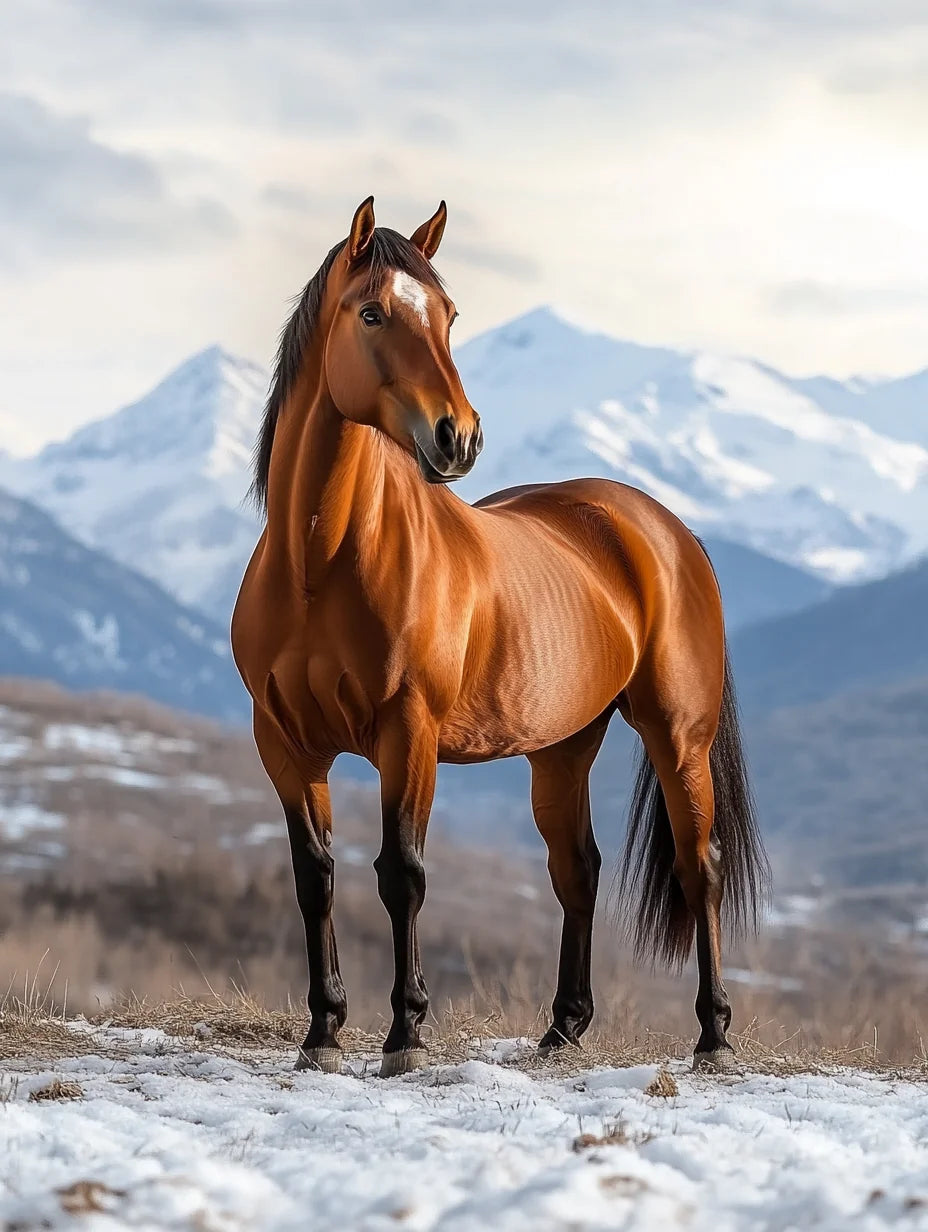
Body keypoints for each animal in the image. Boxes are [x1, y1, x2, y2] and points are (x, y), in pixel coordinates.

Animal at [231, 196, 769, 1077]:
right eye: (372, 312)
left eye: (448, 315)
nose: (458, 437)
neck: (320, 563)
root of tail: (664, 528)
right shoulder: (283, 743)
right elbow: (315, 877)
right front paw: (321, 1034)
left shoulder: (407, 734)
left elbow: (402, 874)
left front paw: (406, 1035)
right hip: (563, 746)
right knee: (576, 869)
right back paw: (562, 1029)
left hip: (678, 734)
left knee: (702, 869)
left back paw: (714, 1037)